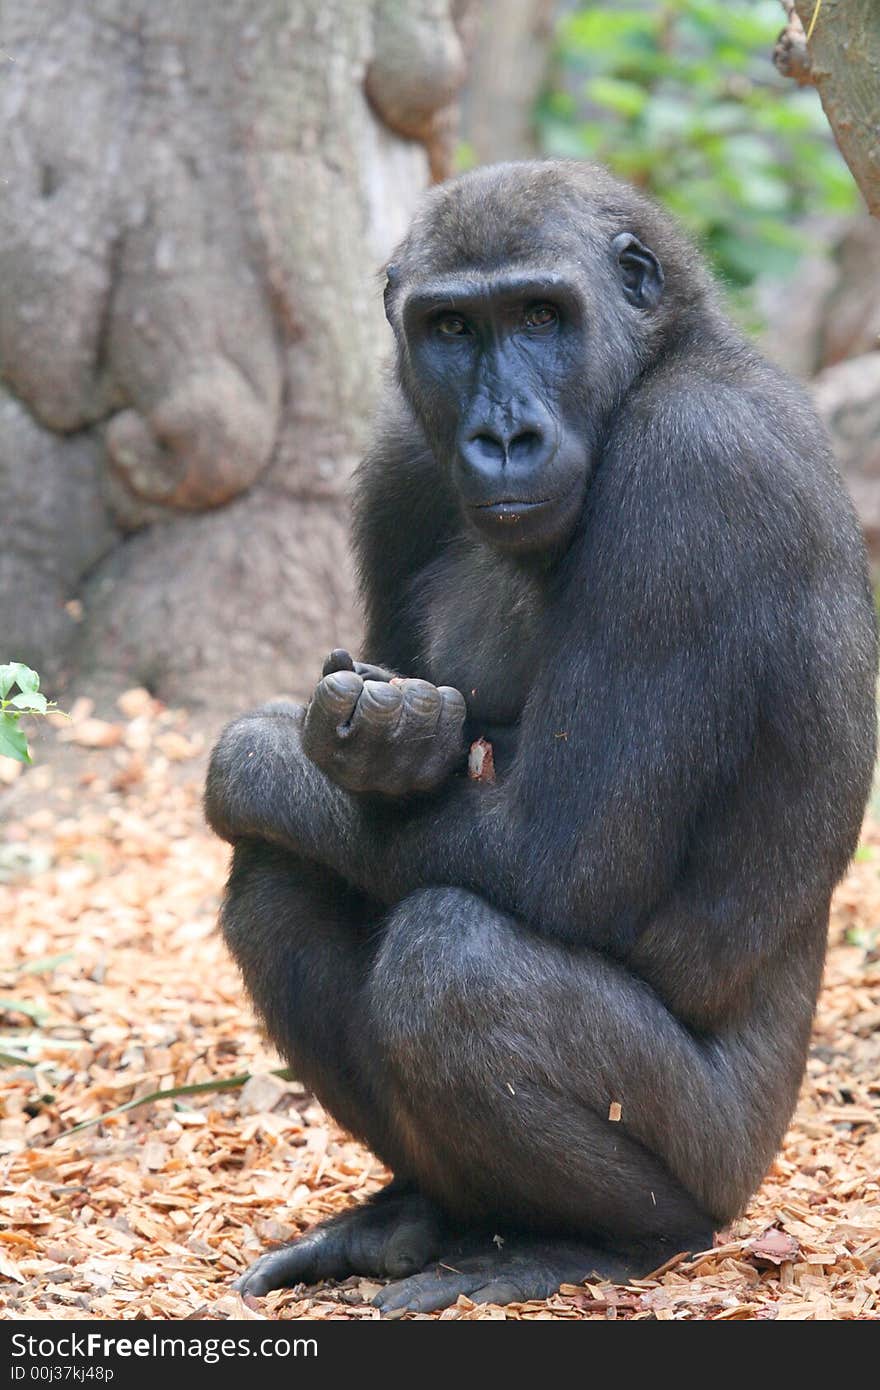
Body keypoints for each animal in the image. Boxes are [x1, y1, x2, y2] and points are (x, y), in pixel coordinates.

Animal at [204, 162, 873, 1312]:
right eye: (452, 327)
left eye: (540, 316)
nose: (503, 436)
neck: (661, 355)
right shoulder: (399, 462)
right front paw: (371, 741)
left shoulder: (694, 471)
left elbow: (564, 860)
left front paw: (255, 750)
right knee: (279, 879)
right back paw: (426, 1216)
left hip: (729, 1159)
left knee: (450, 961)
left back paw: (609, 1241)